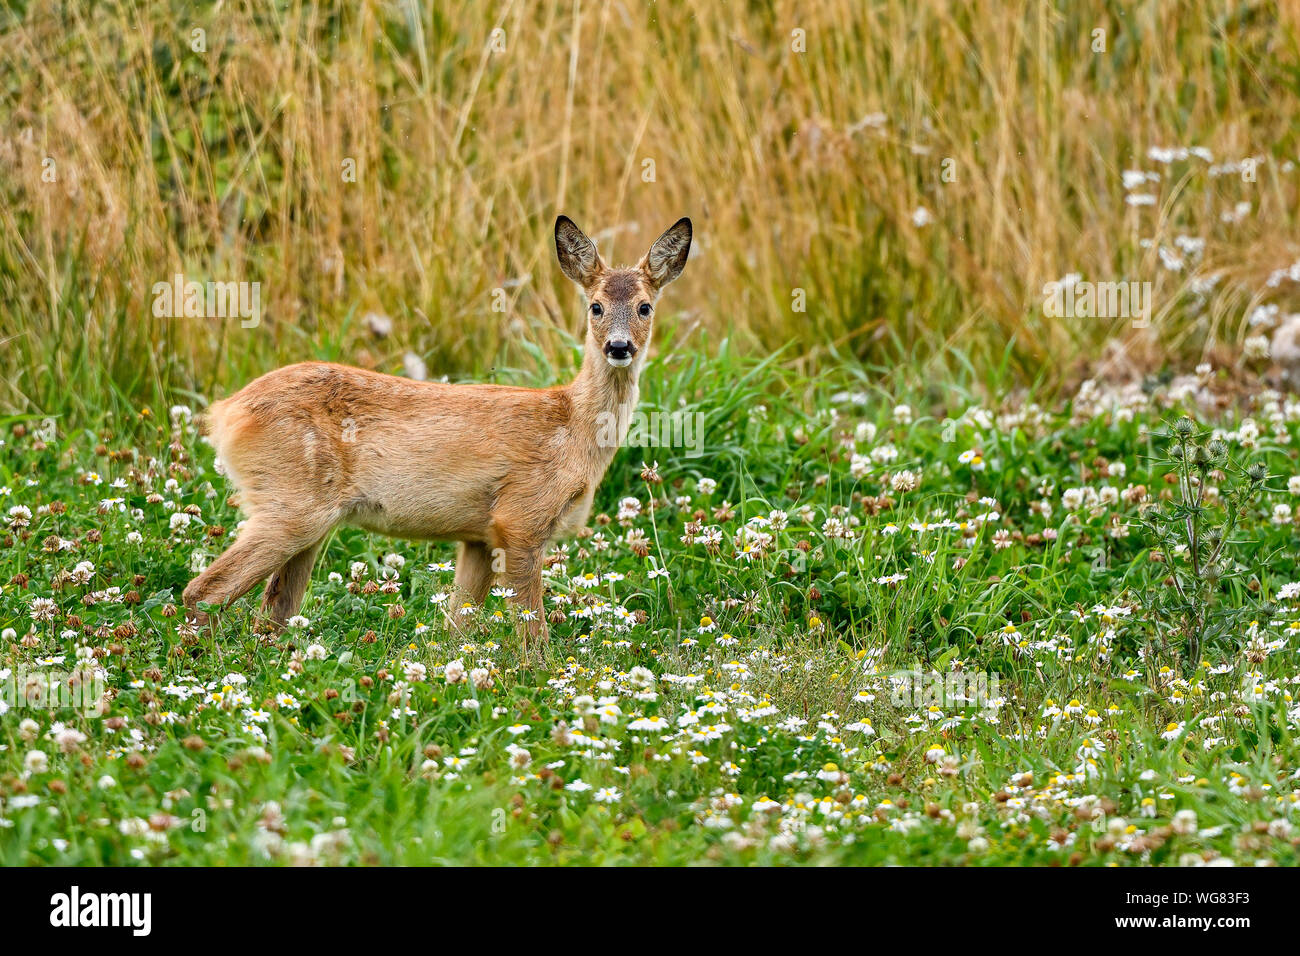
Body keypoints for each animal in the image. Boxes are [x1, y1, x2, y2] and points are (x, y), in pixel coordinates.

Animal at [182, 215, 693, 654]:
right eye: (596, 306)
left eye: (645, 306)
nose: (619, 347)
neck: (572, 427)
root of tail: (225, 413)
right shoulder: (521, 516)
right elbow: (532, 632)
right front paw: (540, 674)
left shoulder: (479, 535)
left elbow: (455, 626)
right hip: (291, 503)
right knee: (204, 589)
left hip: (307, 521)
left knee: (273, 609)